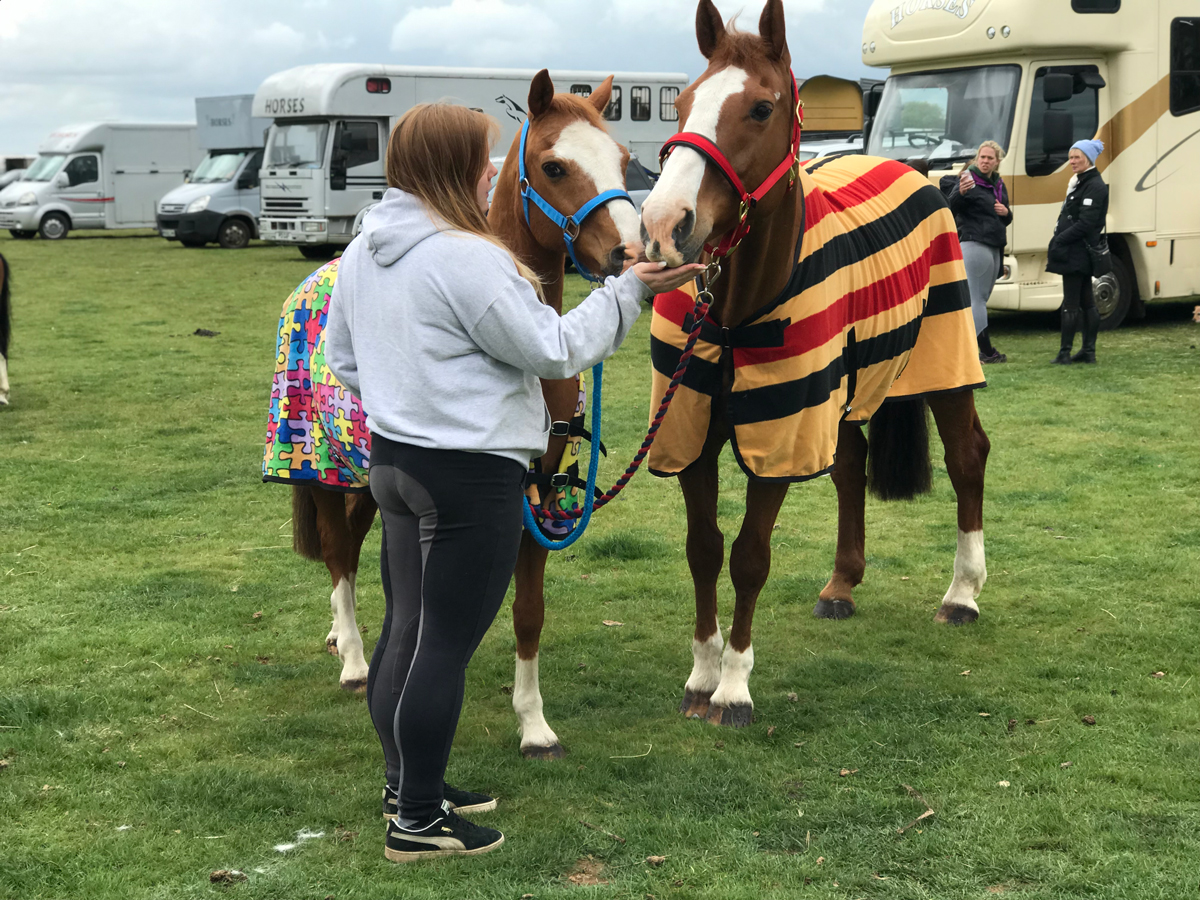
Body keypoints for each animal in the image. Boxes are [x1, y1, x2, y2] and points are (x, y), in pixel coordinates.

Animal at [643, 0, 988, 724]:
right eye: (682, 104)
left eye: (760, 109)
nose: (663, 224)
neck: (733, 311)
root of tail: (915, 171)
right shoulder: (691, 431)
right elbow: (702, 549)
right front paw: (701, 674)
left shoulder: (781, 431)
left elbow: (748, 556)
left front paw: (734, 687)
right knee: (852, 467)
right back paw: (841, 585)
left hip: (944, 364)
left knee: (968, 457)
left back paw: (962, 594)